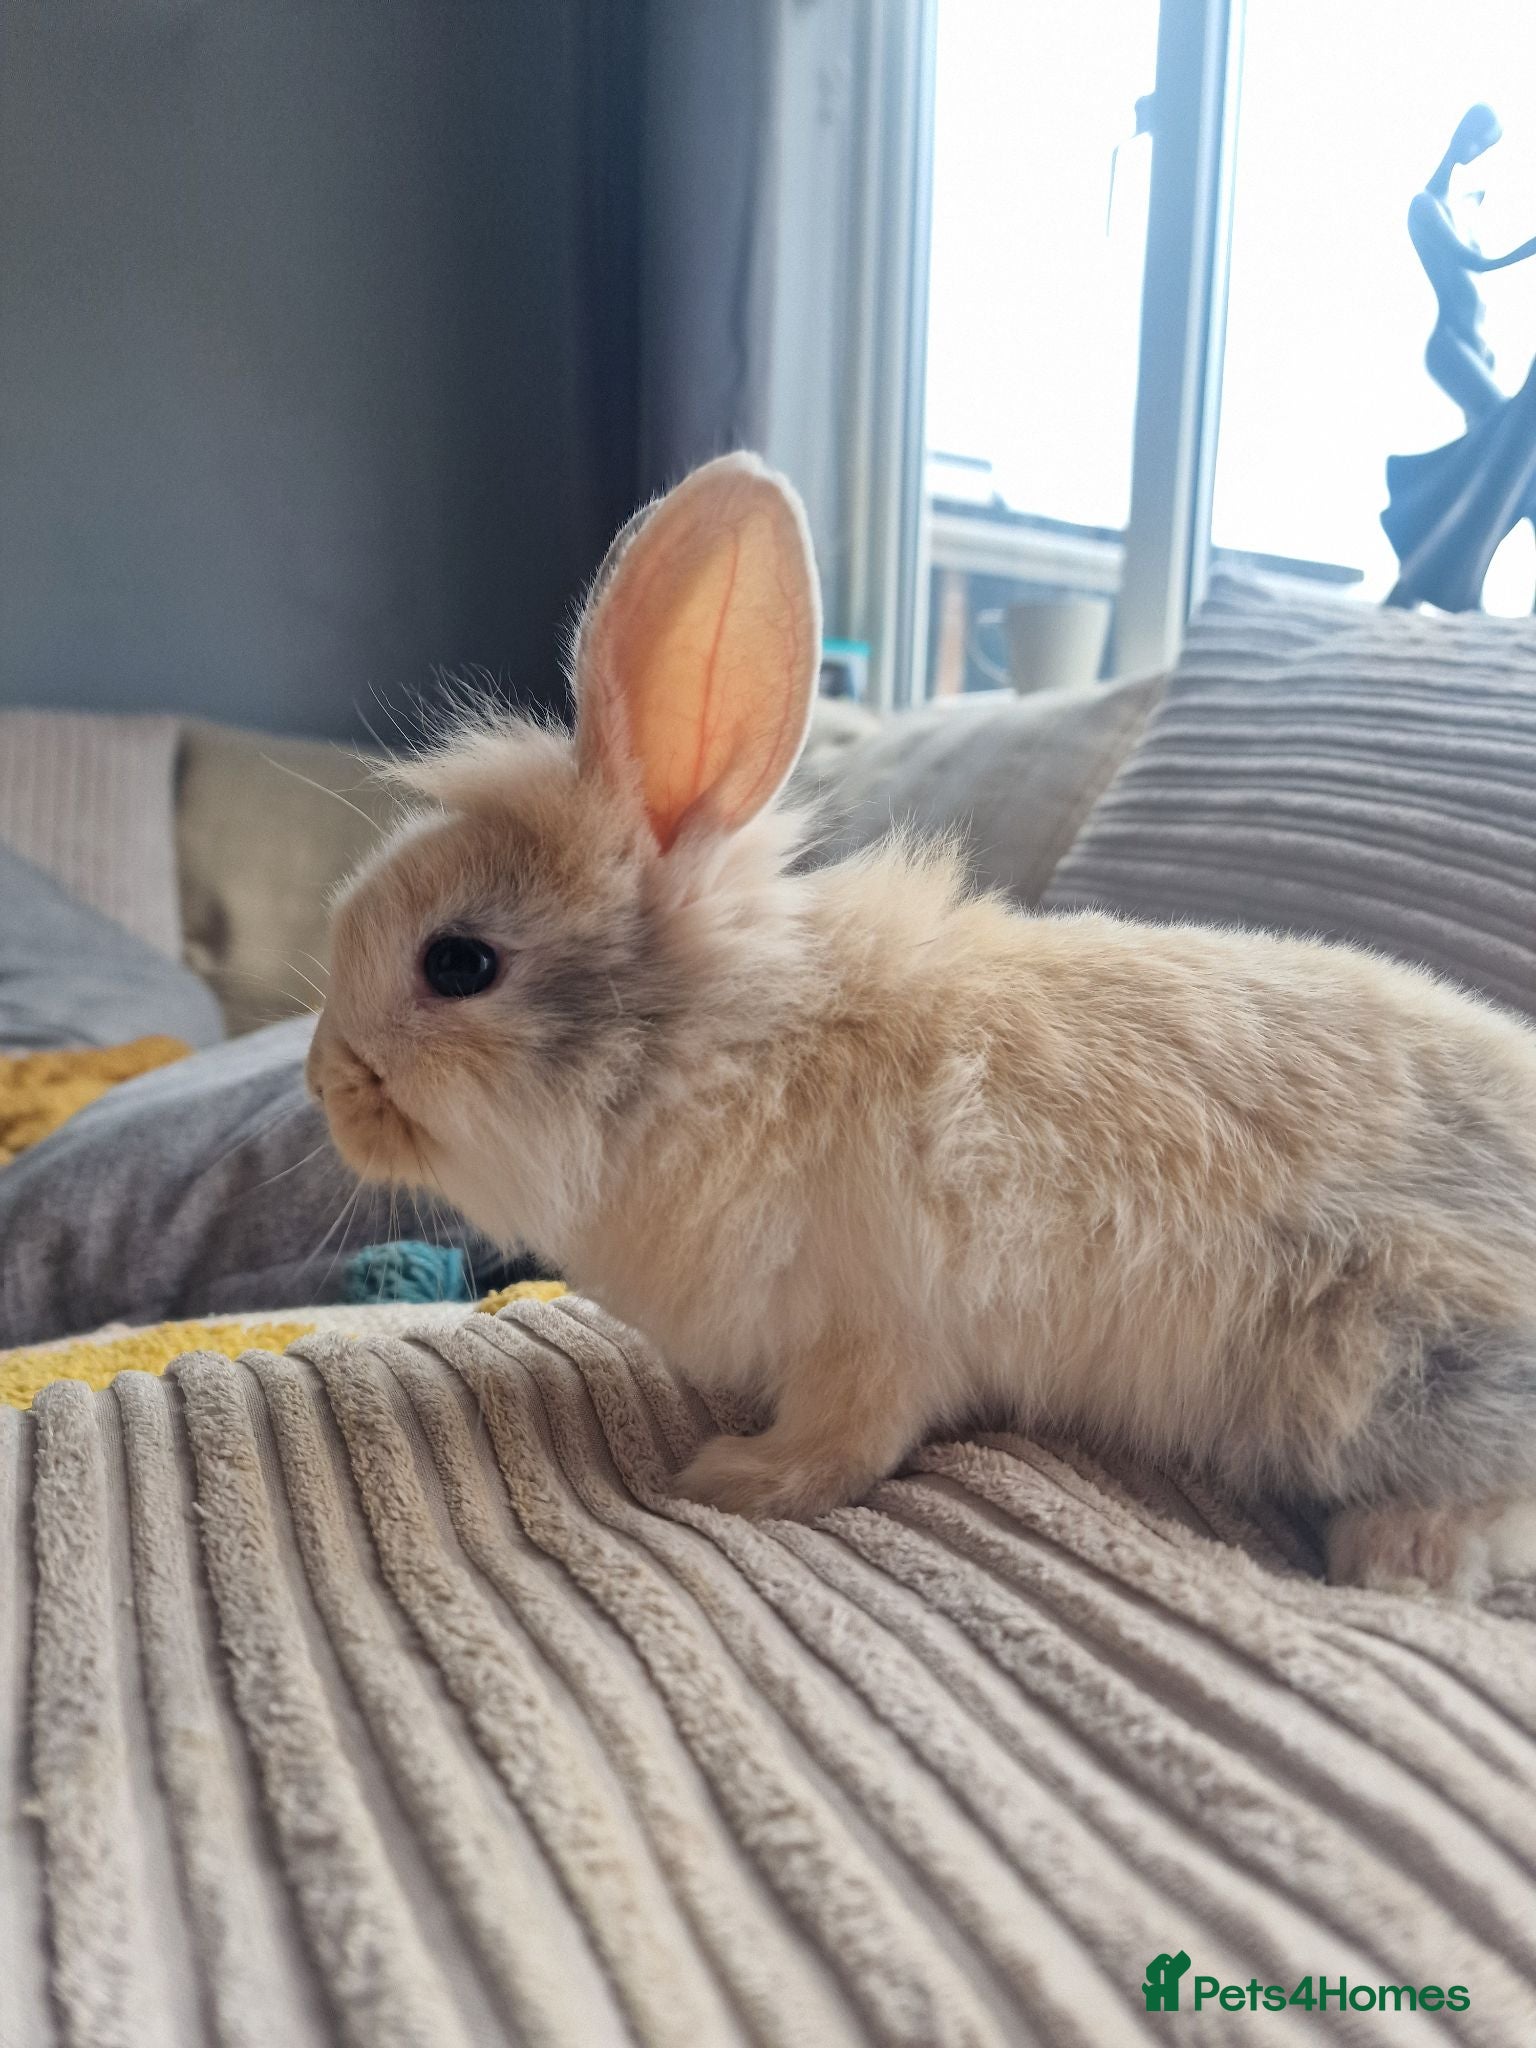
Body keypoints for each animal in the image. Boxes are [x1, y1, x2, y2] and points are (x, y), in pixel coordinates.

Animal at [308, 450, 1536, 1599]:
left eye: (458, 963)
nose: (325, 1081)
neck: (711, 1055)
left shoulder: (874, 1336)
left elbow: (848, 1443)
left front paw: (732, 1479)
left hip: (1396, 1370)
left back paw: (1397, 1553)